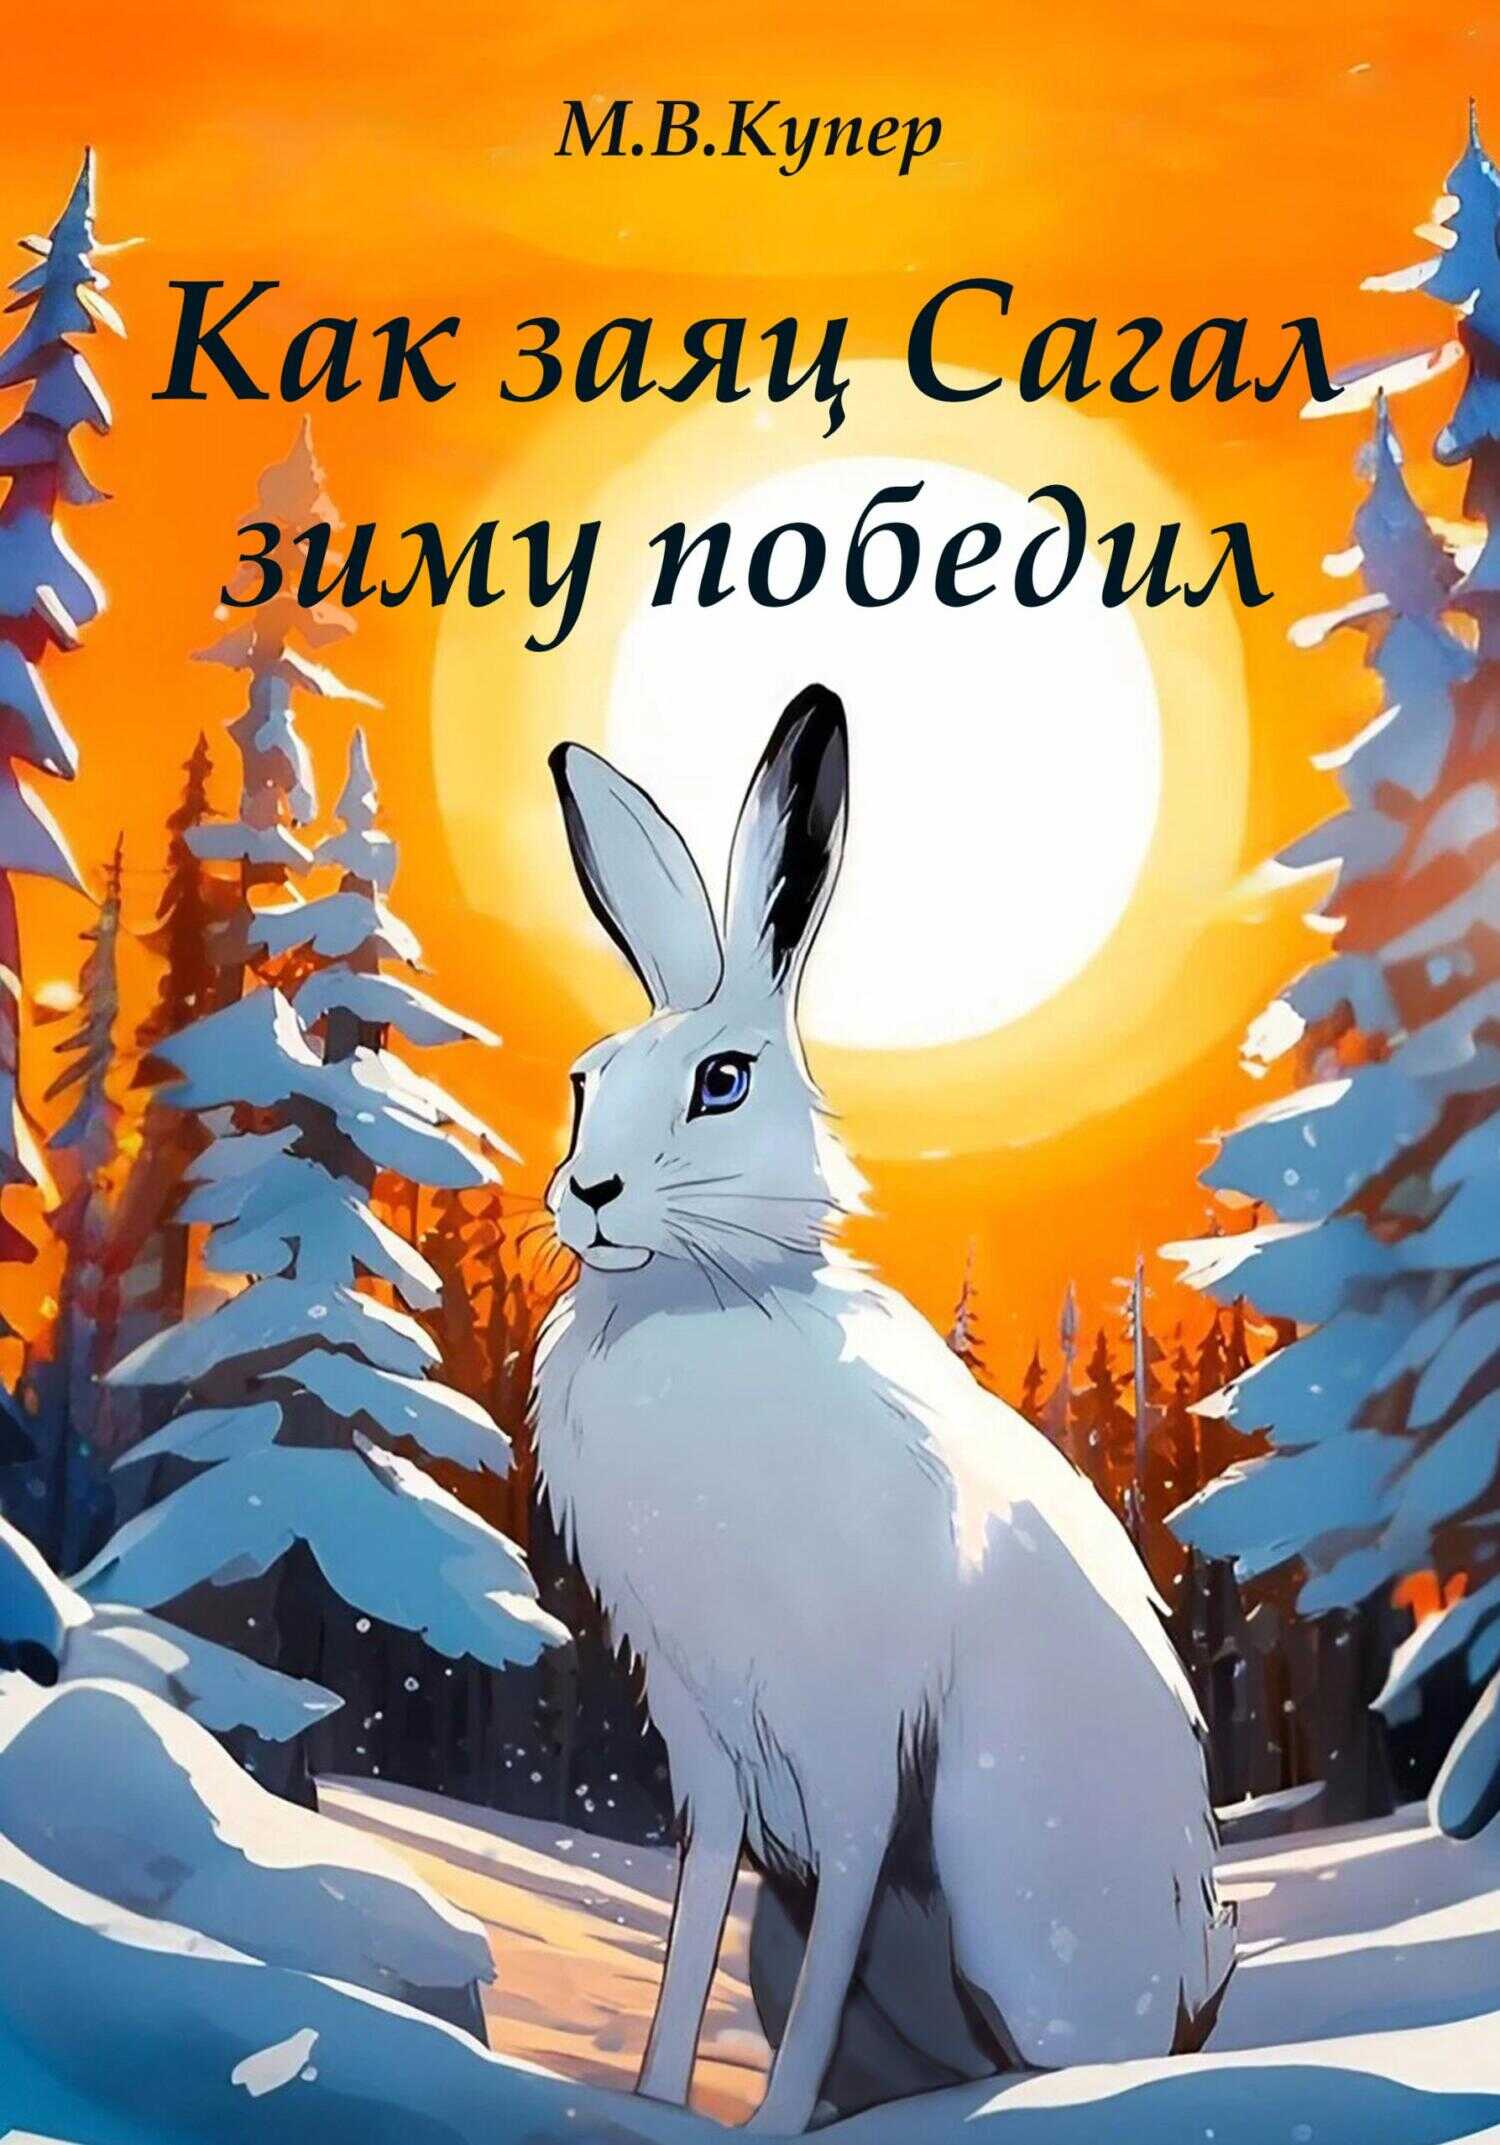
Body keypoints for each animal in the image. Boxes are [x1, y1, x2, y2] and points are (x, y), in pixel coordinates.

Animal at [532, 684, 1234, 2135]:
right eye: (584, 1080)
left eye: (723, 1081)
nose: (589, 1193)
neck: (699, 1299)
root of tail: (1194, 2001)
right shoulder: (705, 1736)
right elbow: (695, 1903)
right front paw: (658, 2100)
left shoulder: (850, 1724)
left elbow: (851, 1872)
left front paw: (774, 2119)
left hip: (1003, 1874)